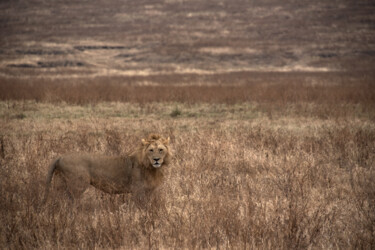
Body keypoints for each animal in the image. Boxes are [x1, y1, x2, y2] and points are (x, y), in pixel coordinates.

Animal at [43, 134, 172, 206]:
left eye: (161, 150)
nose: (156, 159)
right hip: (77, 184)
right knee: (72, 201)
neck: (151, 168)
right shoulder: (138, 190)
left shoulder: (149, 191)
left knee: (58, 198)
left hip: (60, 183)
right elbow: (140, 206)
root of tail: (61, 156)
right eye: (151, 150)